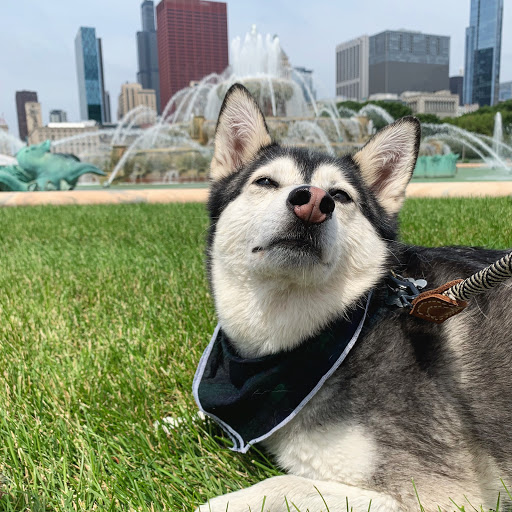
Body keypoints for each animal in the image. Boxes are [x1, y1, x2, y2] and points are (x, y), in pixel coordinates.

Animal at [194, 85, 510, 512]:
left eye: (340, 196)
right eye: (266, 182)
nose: (313, 202)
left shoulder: (445, 494)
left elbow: (284, 483)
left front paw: (217, 504)